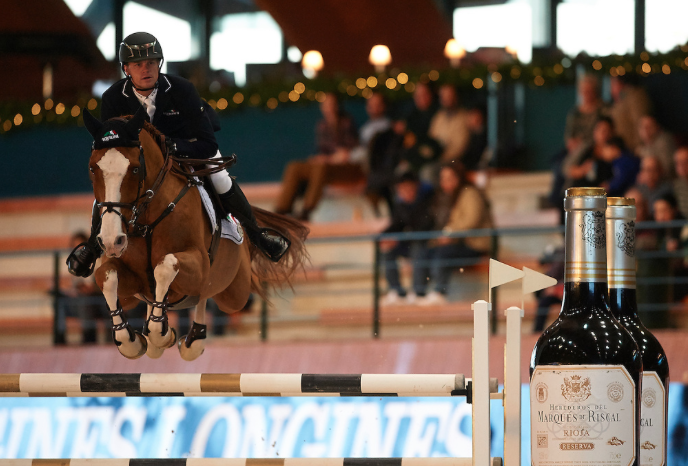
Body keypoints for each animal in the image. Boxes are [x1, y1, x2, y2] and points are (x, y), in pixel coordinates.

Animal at [80, 109, 306, 360]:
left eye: (135, 169)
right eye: (92, 168)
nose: (112, 240)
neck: (146, 219)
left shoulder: (198, 265)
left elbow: (165, 267)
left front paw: (160, 333)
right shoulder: (131, 286)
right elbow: (106, 276)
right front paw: (130, 341)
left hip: (234, 293)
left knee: (209, 293)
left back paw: (192, 340)